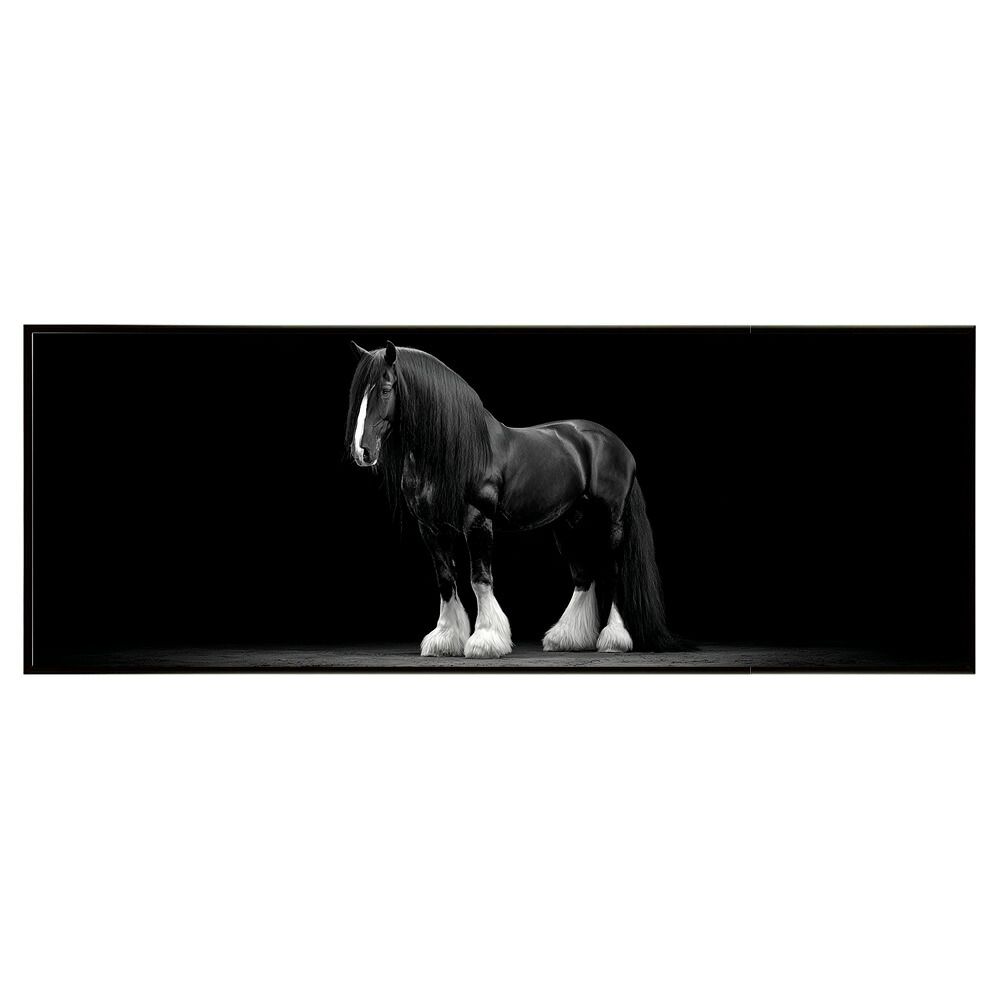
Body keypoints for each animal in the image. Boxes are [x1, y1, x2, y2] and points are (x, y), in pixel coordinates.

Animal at [345, 340, 690, 658]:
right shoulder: (430, 527)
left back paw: (613, 640)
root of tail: (616, 444)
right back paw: (566, 638)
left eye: (385, 390)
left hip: (611, 521)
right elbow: (445, 579)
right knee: (584, 575)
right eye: (357, 394)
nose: (362, 452)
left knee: (613, 571)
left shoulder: (477, 520)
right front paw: (445, 640)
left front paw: (485, 640)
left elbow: (480, 579)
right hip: (569, 524)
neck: (456, 450)